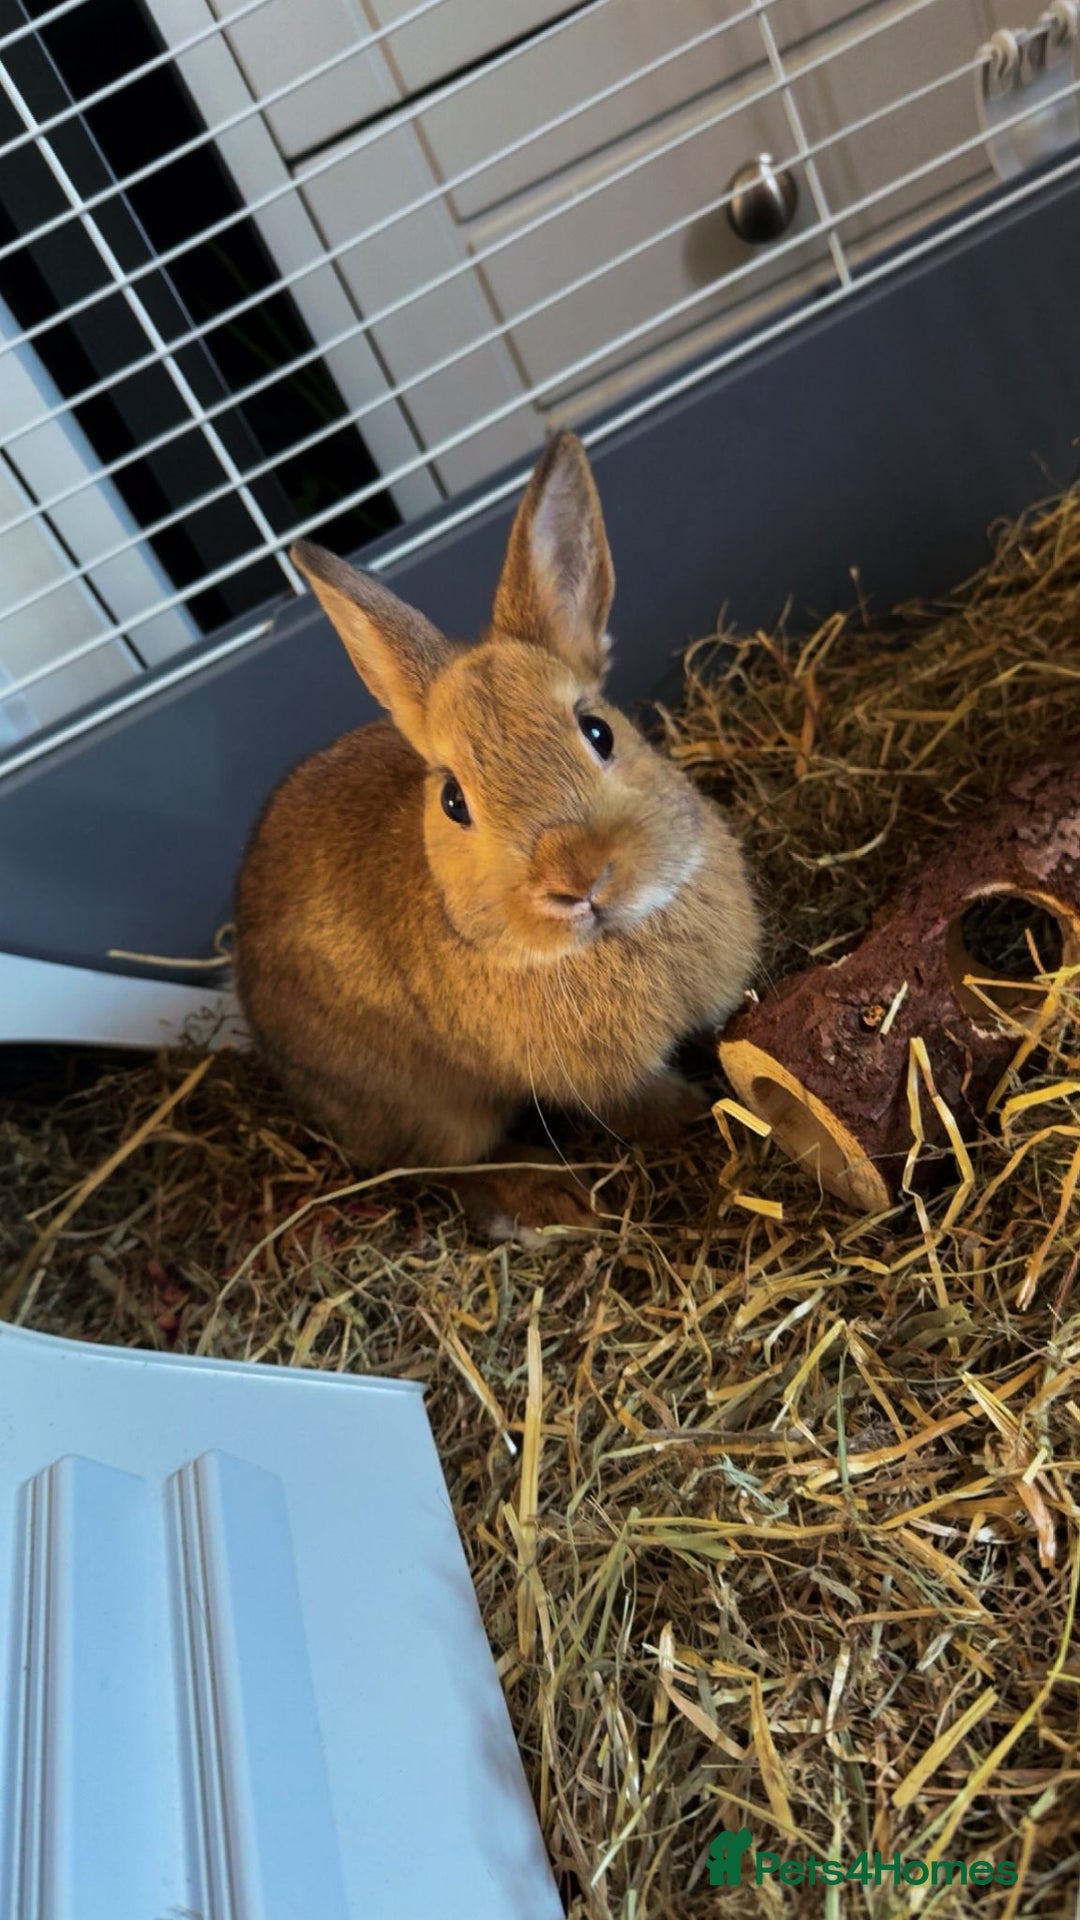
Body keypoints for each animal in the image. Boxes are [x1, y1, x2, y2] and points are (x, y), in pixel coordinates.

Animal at [234, 431, 761, 1245]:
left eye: (598, 731)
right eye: (453, 801)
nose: (578, 879)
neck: (608, 940)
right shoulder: (604, 1079)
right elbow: (643, 1105)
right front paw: (695, 1113)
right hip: (433, 1109)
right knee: (443, 1166)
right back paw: (552, 1196)